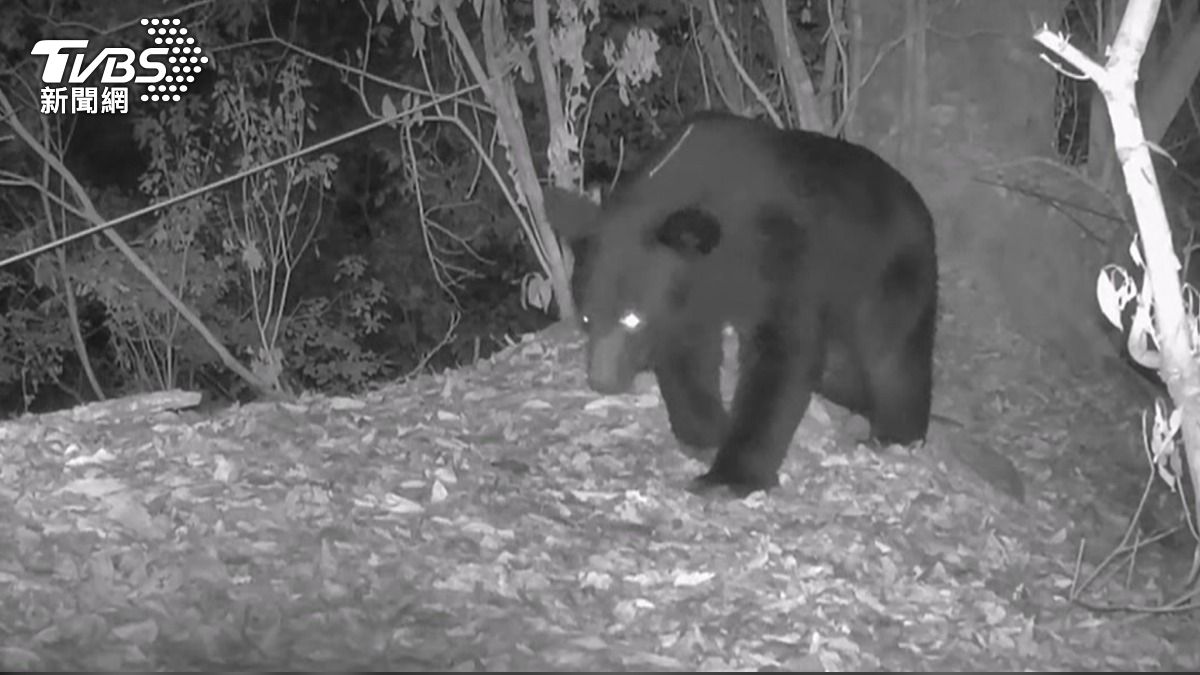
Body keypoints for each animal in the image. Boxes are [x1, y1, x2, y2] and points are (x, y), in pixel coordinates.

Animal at [545, 111, 939, 497]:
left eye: (632, 317)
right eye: (585, 317)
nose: (601, 380)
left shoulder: (779, 253)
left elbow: (783, 350)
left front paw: (728, 476)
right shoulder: (693, 294)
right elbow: (687, 354)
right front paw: (706, 432)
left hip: (888, 275)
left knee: (893, 356)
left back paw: (894, 433)